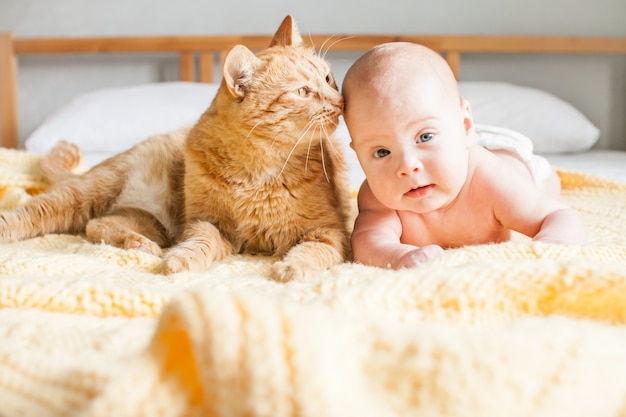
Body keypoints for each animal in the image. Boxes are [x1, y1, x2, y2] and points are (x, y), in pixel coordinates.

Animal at [0, 16, 352, 282]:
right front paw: (179, 262)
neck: (259, 172)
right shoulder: (208, 224)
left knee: (96, 224)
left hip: (150, 221)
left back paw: (136, 243)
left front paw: (293, 268)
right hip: (88, 192)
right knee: (37, 214)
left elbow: (311, 252)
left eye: (328, 79)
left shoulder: (328, 232)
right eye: (303, 91)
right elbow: (199, 243)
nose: (339, 101)